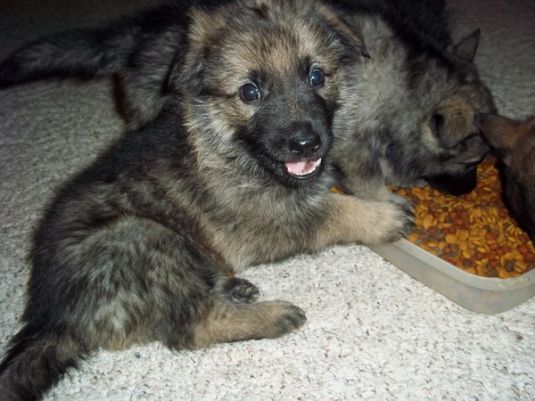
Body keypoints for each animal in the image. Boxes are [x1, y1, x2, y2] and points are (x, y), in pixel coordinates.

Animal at [0, 0, 496, 198]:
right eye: (469, 163)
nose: (470, 192)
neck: (406, 83)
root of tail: (139, 34)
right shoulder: (354, 145)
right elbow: (368, 179)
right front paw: (390, 201)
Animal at [0, 1, 414, 398]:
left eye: (316, 76)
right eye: (249, 92)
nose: (305, 143)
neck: (228, 142)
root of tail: (52, 318)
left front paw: (386, 197)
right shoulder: (271, 219)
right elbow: (336, 209)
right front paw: (385, 217)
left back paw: (232, 287)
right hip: (141, 237)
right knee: (192, 325)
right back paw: (271, 315)